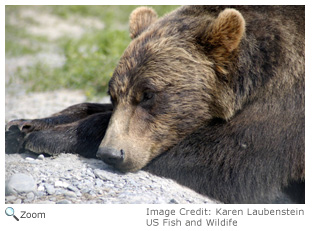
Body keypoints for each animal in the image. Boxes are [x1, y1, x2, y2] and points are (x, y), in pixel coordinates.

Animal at [6, 5, 306, 204]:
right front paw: (22, 126)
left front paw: (47, 137)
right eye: (113, 94)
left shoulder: (286, 104)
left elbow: (227, 161)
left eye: (149, 94)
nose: (111, 153)